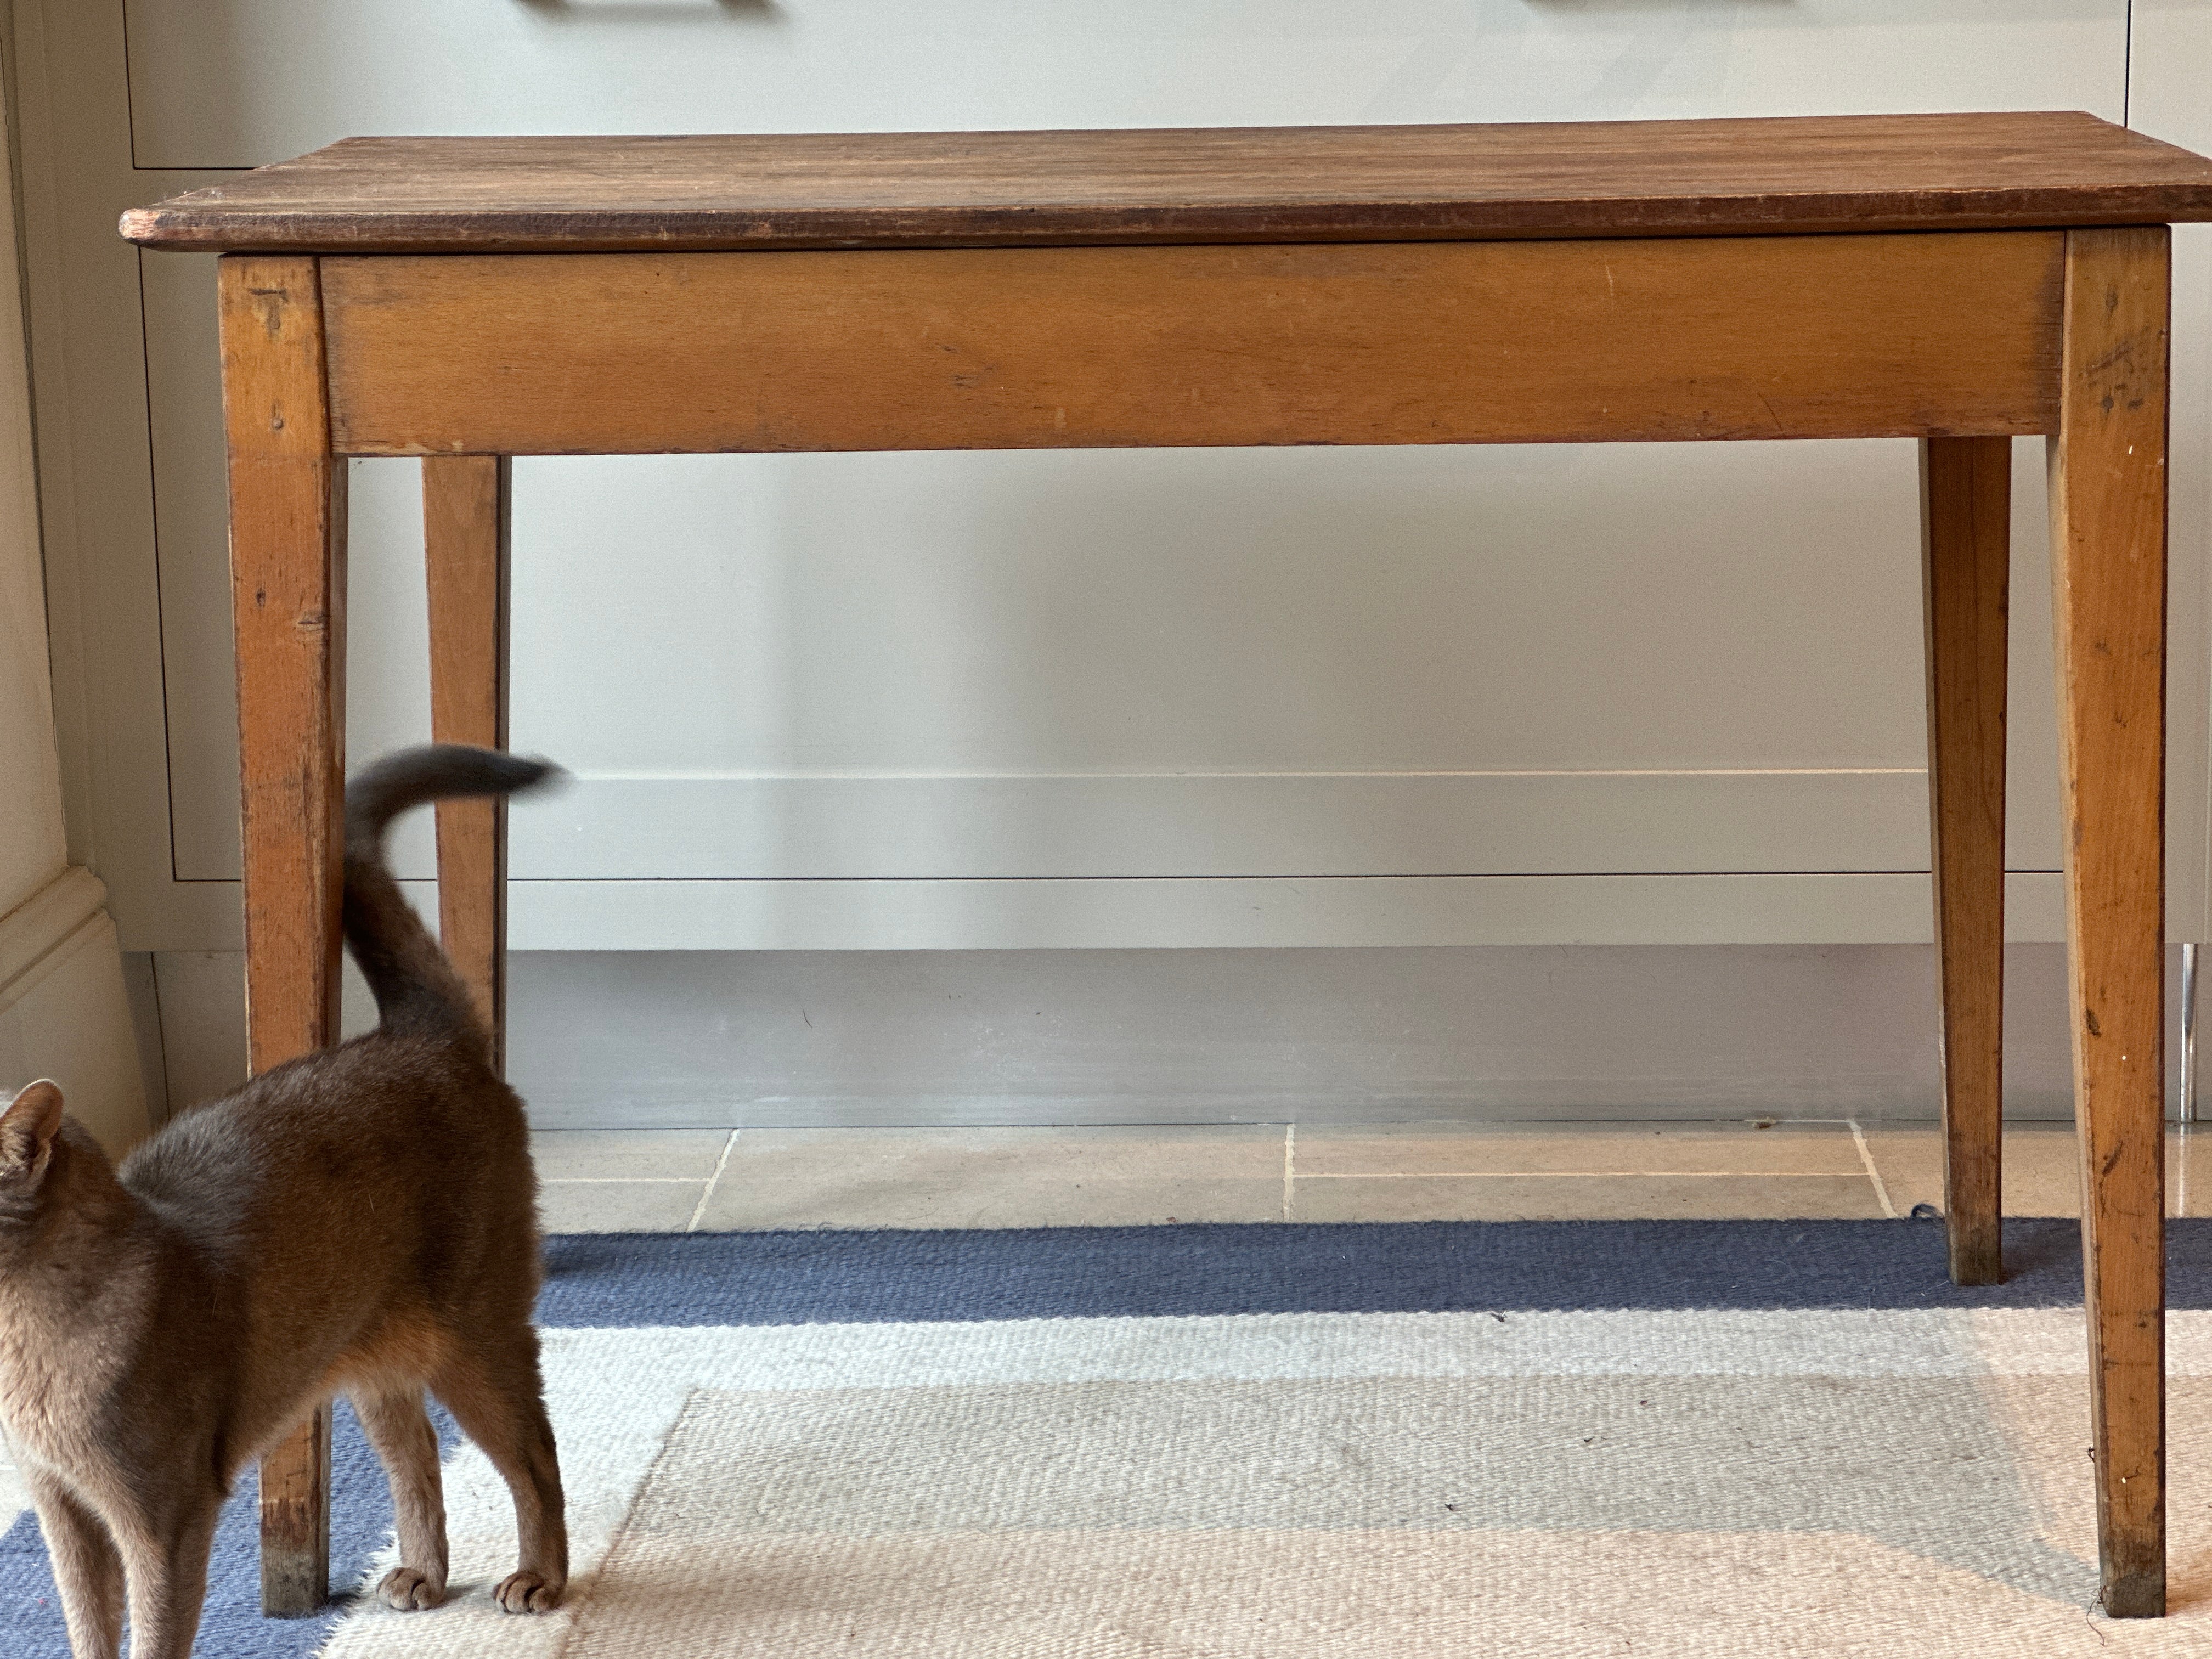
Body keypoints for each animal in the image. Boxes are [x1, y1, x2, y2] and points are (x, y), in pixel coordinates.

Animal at [2, 747, 571, 1654]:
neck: (23, 1348)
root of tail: (419, 1032)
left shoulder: (163, 1515)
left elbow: (153, 1634)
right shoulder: (62, 1509)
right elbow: (88, 1629)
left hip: (476, 1329)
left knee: (534, 1451)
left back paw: (540, 1579)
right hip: (373, 1350)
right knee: (416, 1454)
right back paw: (421, 1575)